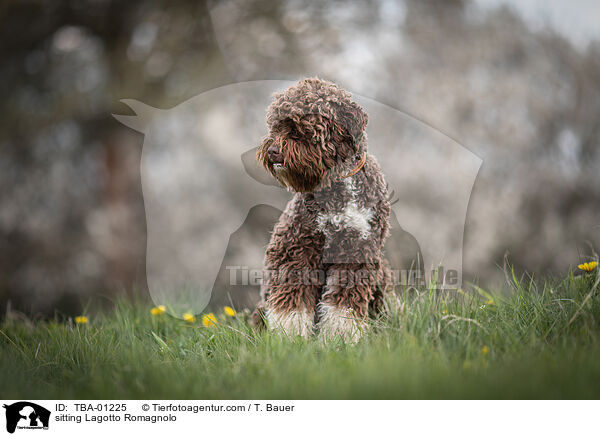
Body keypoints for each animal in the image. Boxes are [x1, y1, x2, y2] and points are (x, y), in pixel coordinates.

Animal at [254, 76, 392, 340]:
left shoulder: (357, 252)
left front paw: (341, 336)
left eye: (299, 127)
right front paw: (290, 336)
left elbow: (344, 304)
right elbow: (292, 301)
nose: (272, 150)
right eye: (275, 126)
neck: (338, 187)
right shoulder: (296, 247)